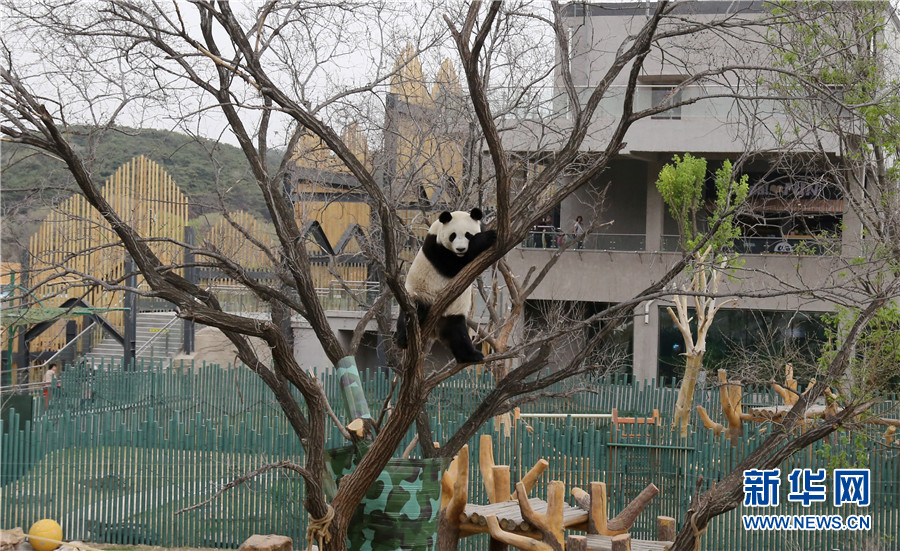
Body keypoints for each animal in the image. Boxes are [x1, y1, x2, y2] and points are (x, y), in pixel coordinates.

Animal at [398, 207, 500, 362]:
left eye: (467, 234)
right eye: (453, 236)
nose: (460, 249)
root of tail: (435, 330)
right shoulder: (435, 248)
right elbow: (453, 264)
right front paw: (486, 238)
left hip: (452, 314)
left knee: (456, 333)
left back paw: (471, 355)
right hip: (420, 294)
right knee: (412, 312)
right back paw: (401, 339)